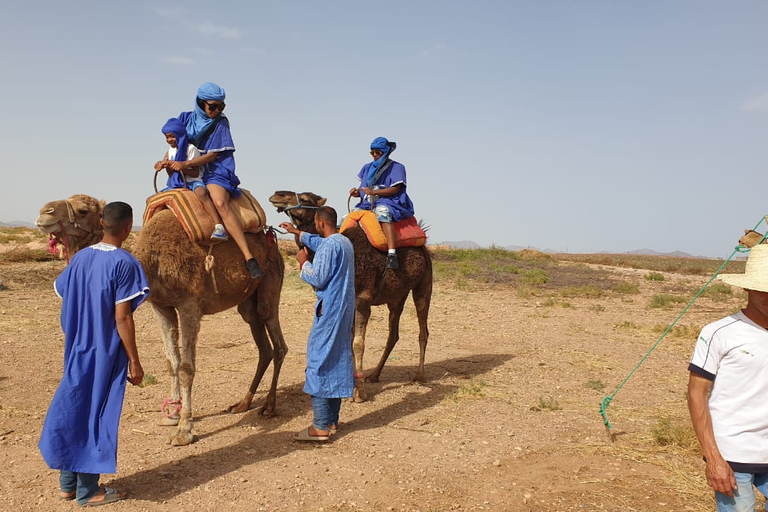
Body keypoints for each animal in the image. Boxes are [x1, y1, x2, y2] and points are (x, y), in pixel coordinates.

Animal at [36, 194, 288, 446]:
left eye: (83, 210)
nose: (44, 213)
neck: (153, 261)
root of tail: (271, 238)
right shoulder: (160, 306)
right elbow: (171, 363)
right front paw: (172, 415)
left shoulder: (189, 305)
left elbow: (186, 368)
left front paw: (184, 430)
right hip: (247, 302)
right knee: (262, 344)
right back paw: (243, 403)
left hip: (270, 282)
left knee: (277, 341)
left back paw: (269, 406)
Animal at [268, 190, 432, 402]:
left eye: (304, 199)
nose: (277, 195)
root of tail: (424, 247)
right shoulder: (349, 301)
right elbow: (349, 340)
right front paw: (351, 388)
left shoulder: (362, 299)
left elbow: (358, 343)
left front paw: (359, 393)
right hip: (397, 296)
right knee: (393, 334)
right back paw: (374, 375)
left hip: (423, 286)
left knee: (423, 329)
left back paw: (420, 375)